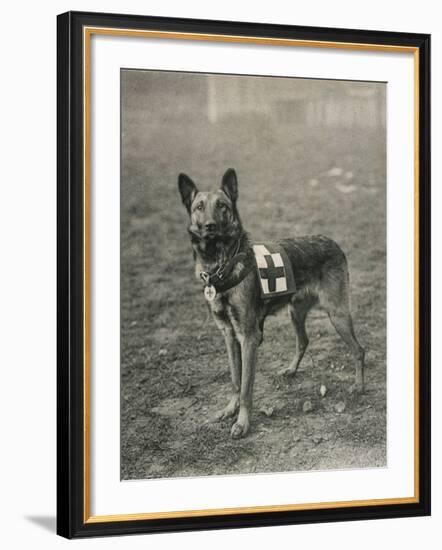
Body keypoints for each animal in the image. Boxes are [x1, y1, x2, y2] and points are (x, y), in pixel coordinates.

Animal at [178, 168, 364, 440]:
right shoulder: (229, 335)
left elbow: (246, 387)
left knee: (359, 350)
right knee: (303, 341)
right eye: (199, 206)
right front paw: (230, 409)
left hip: (337, 313)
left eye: (222, 206)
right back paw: (292, 370)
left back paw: (358, 387)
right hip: (296, 312)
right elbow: (235, 379)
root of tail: (332, 242)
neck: (221, 264)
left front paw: (242, 422)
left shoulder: (249, 337)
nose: (210, 226)